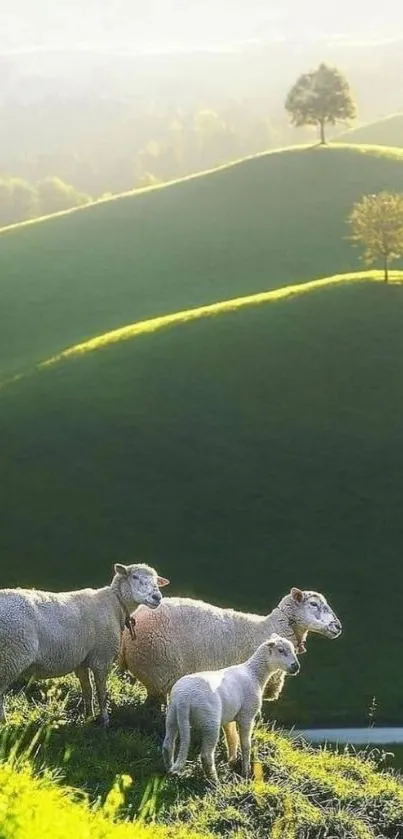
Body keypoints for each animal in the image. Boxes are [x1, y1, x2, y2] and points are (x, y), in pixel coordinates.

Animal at [0, 564, 169, 728]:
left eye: (156, 580)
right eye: (135, 577)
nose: (157, 597)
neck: (115, 604)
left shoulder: (82, 662)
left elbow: (88, 691)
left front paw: (88, 717)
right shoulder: (101, 659)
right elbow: (101, 693)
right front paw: (104, 721)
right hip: (10, 657)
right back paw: (4, 722)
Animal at [163, 632, 300, 784]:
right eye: (281, 650)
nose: (296, 667)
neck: (254, 674)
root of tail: (184, 698)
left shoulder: (229, 717)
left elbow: (231, 738)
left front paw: (232, 762)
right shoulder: (247, 715)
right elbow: (245, 744)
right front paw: (246, 772)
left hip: (172, 716)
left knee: (167, 745)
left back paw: (170, 771)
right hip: (210, 722)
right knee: (206, 755)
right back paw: (214, 782)